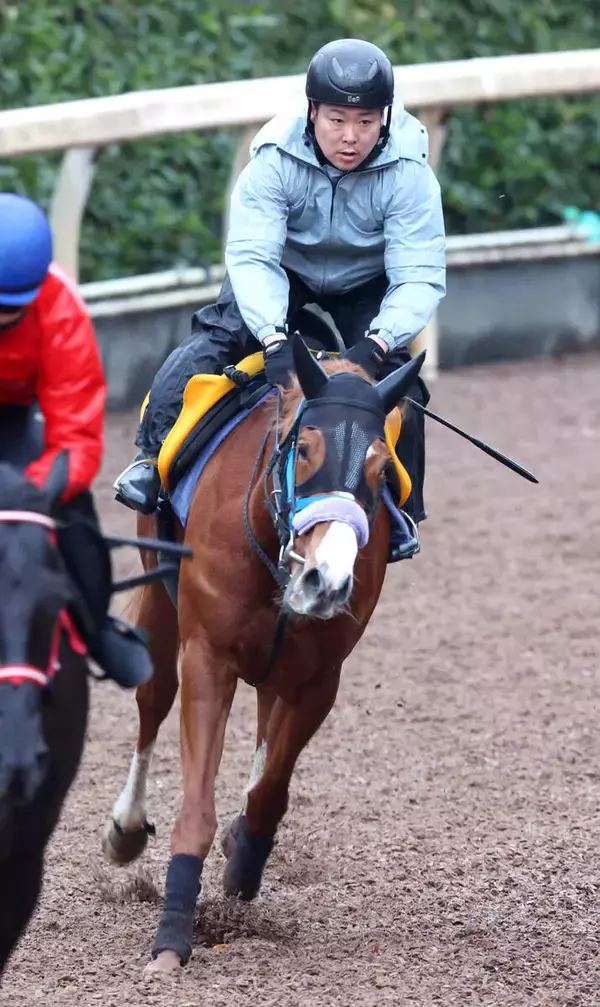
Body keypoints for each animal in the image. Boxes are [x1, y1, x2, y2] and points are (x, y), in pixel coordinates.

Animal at [103, 334, 425, 975]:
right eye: (304, 447)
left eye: (382, 468)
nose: (327, 580)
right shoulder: (208, 655)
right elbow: (196, 807)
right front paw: (172, 939)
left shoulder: (319, 678)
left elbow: (269, 791)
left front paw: (244, 863)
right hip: (159, 592)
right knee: (153, 698)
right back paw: (126, 826)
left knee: (264, 724)